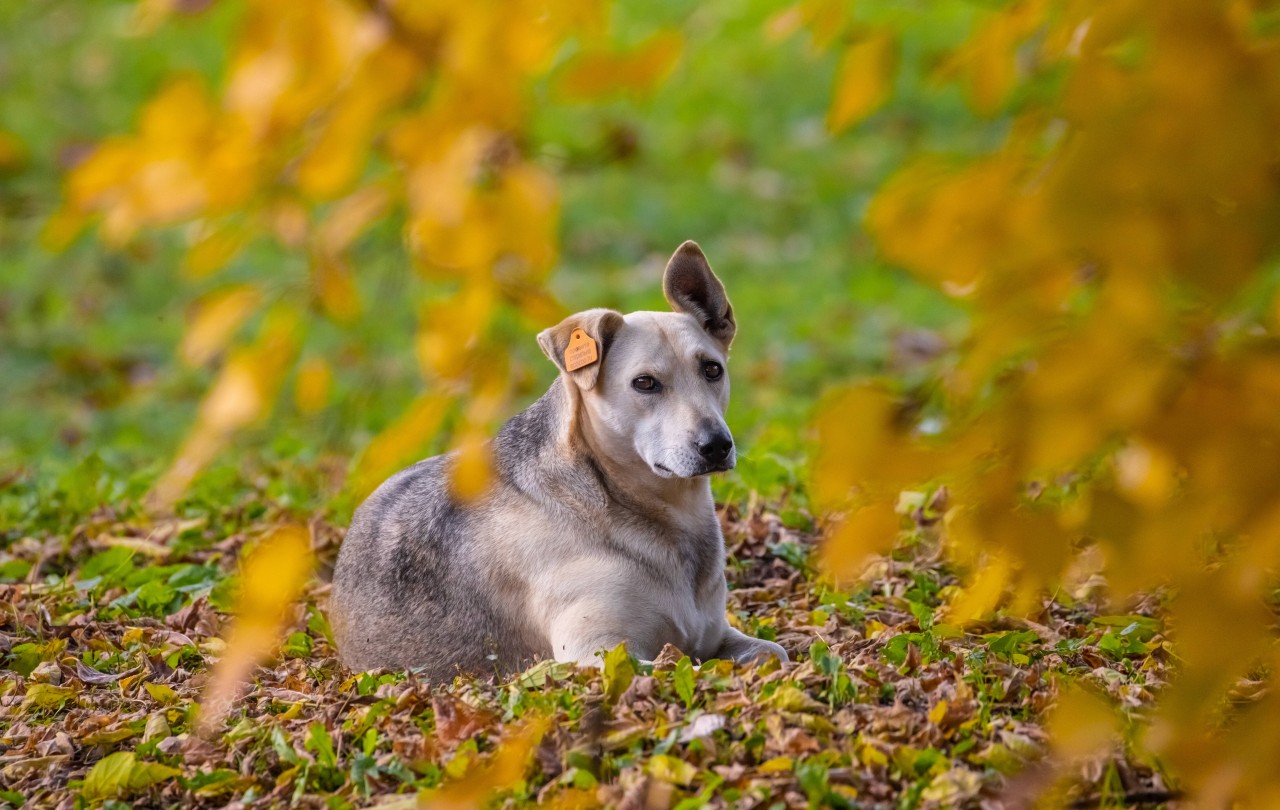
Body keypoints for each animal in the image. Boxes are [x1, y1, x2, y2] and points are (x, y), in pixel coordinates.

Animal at [327, 240, 788, 675]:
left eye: (712, 370)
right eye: (644, 383)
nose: (716, 444)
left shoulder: (716, 633)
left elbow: (774, 652)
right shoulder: (600, 651)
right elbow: (682, 664)